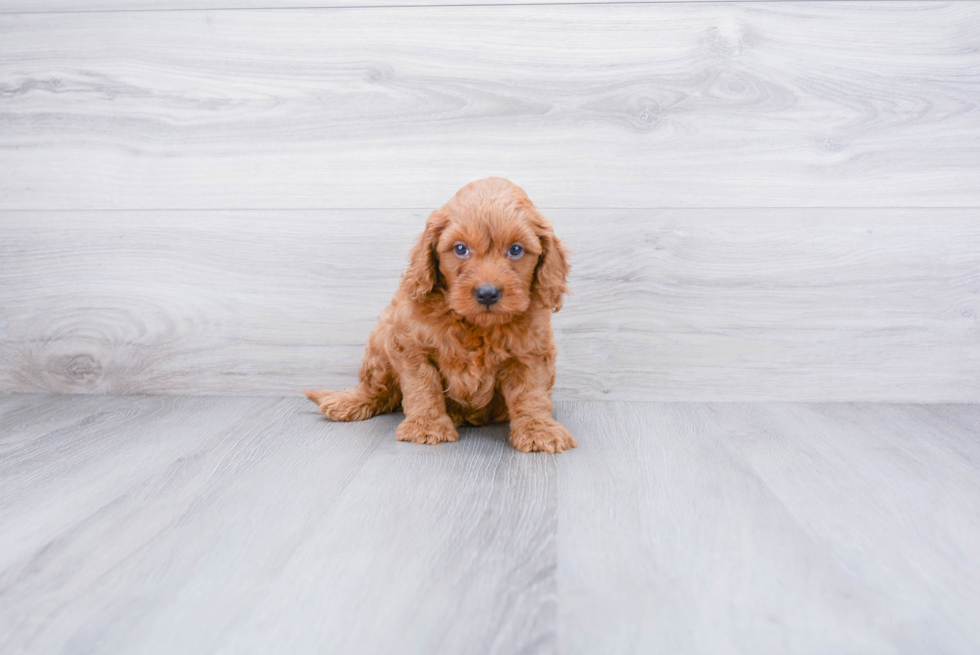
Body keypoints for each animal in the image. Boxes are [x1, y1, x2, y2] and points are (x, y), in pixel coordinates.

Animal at [306, 177, 576, 454]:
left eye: (516, 250)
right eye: (460, 249)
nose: (487, 293)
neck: (475, 324)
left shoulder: (531, 353)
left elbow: (531, 394)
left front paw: (539, 430)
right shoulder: (410, 346)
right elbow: (423, 387)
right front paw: (426, 427)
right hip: (380, 342)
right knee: (378, 389)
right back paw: (349, 401)